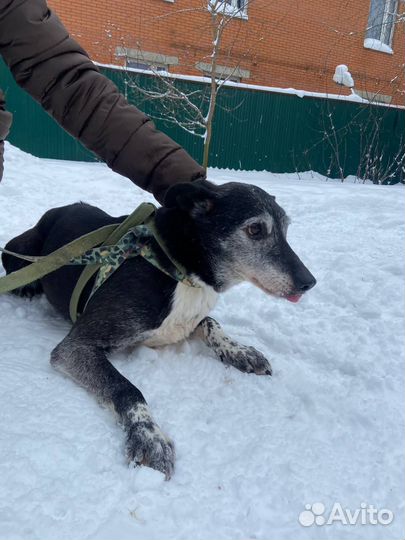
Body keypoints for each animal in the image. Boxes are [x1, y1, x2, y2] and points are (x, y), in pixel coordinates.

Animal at [0, 179, 316, 478]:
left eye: (286, 229)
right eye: (255, 229)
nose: (309, 282)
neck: (179, 269)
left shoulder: (189, 319)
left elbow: (212, 323)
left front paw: (240, 351)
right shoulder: (77, 345)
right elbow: (127, 388)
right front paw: (149, 437)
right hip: (21, 253)